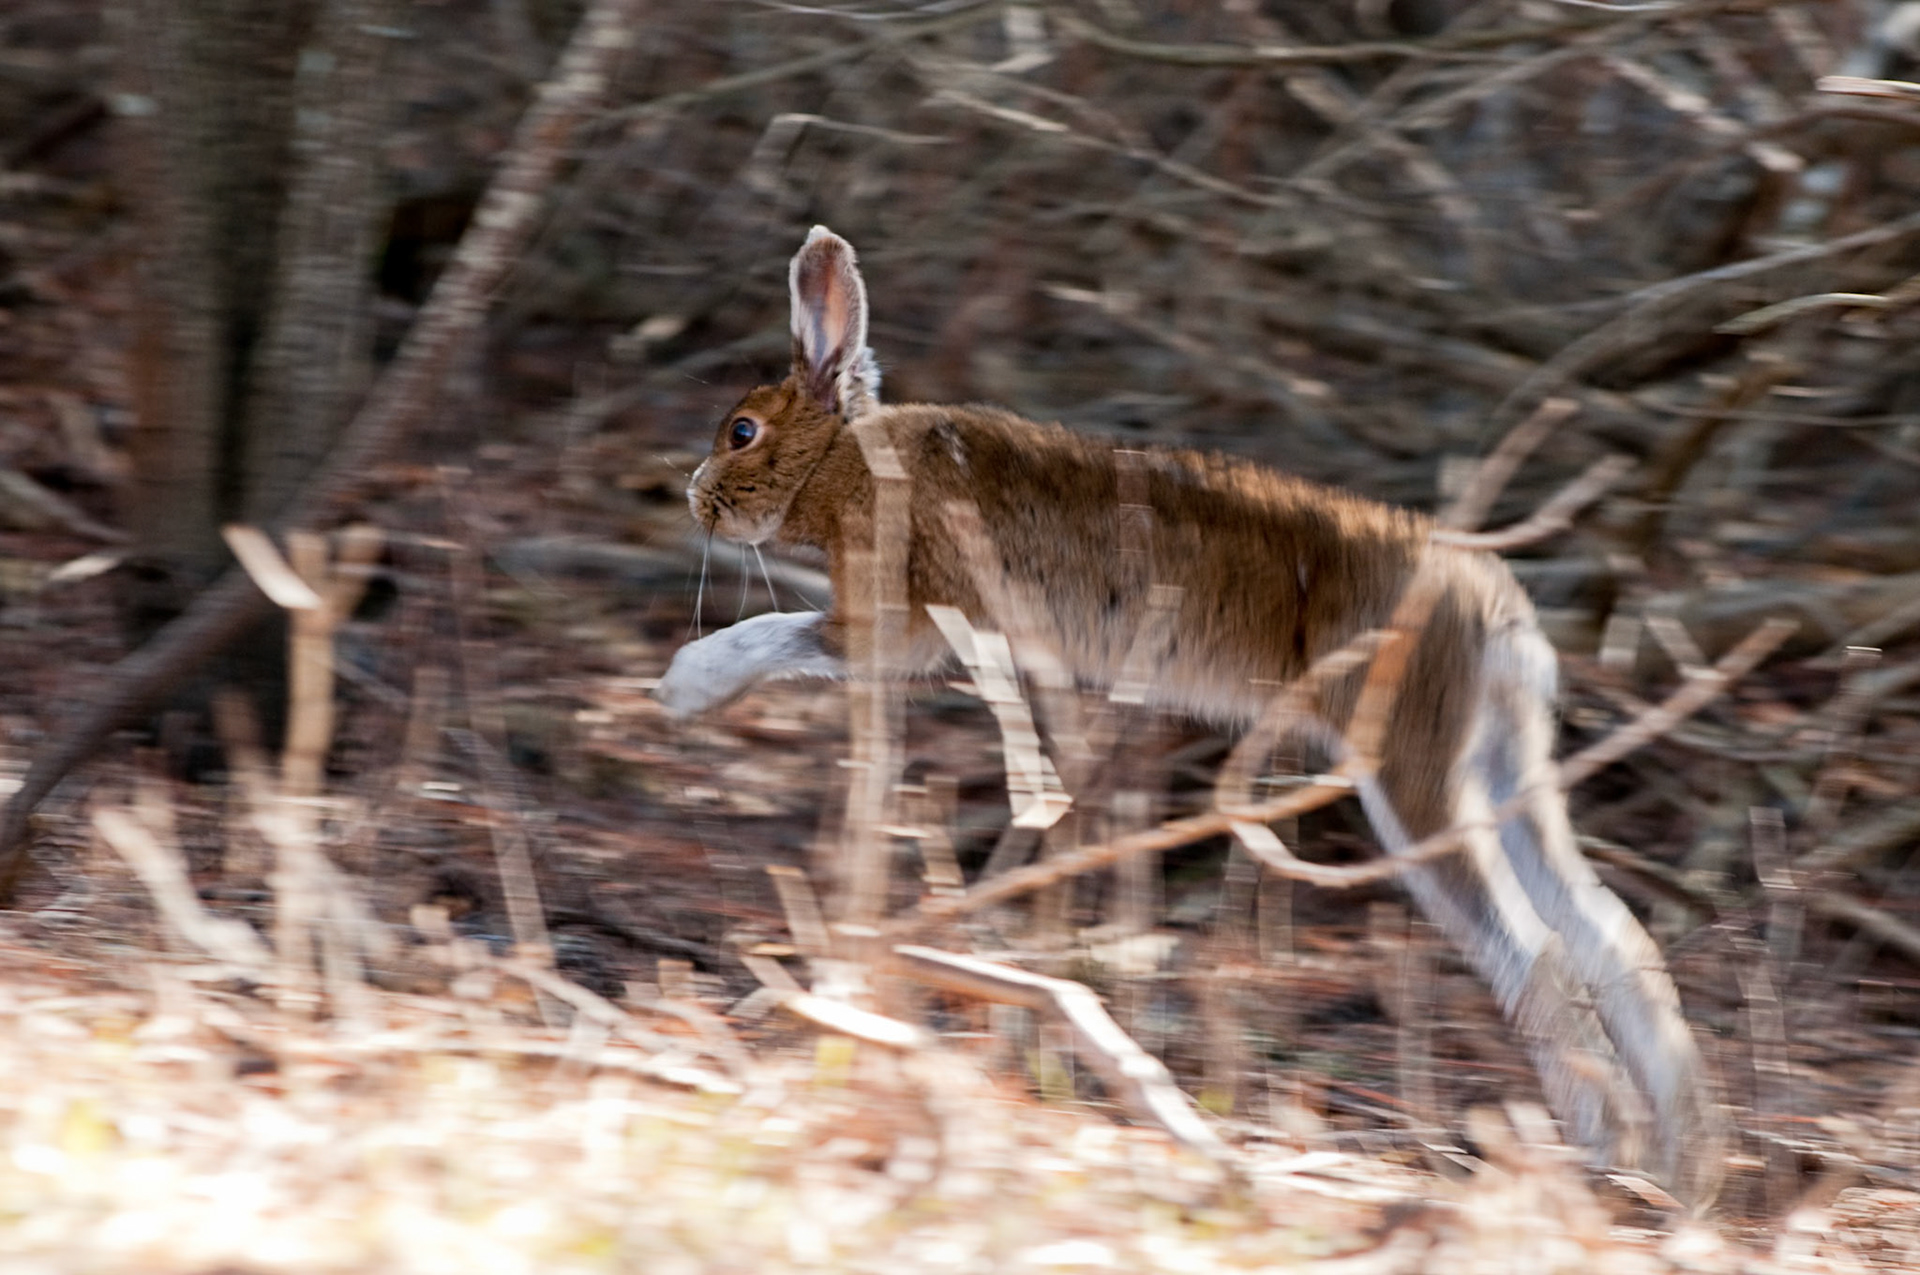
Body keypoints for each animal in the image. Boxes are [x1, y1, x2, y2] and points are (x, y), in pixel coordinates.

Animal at [654, 226, 1725, 1205]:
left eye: (742, 431)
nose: (695, 497)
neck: (844, 455)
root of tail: (1494, 603)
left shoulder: (884, 622)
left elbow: (782, 632)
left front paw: (682, 685)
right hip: (1500, 768)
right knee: (1612, 937)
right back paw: (1678, 1164)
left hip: (1410, 769)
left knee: (1535, 950)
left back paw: (1607, 1155)